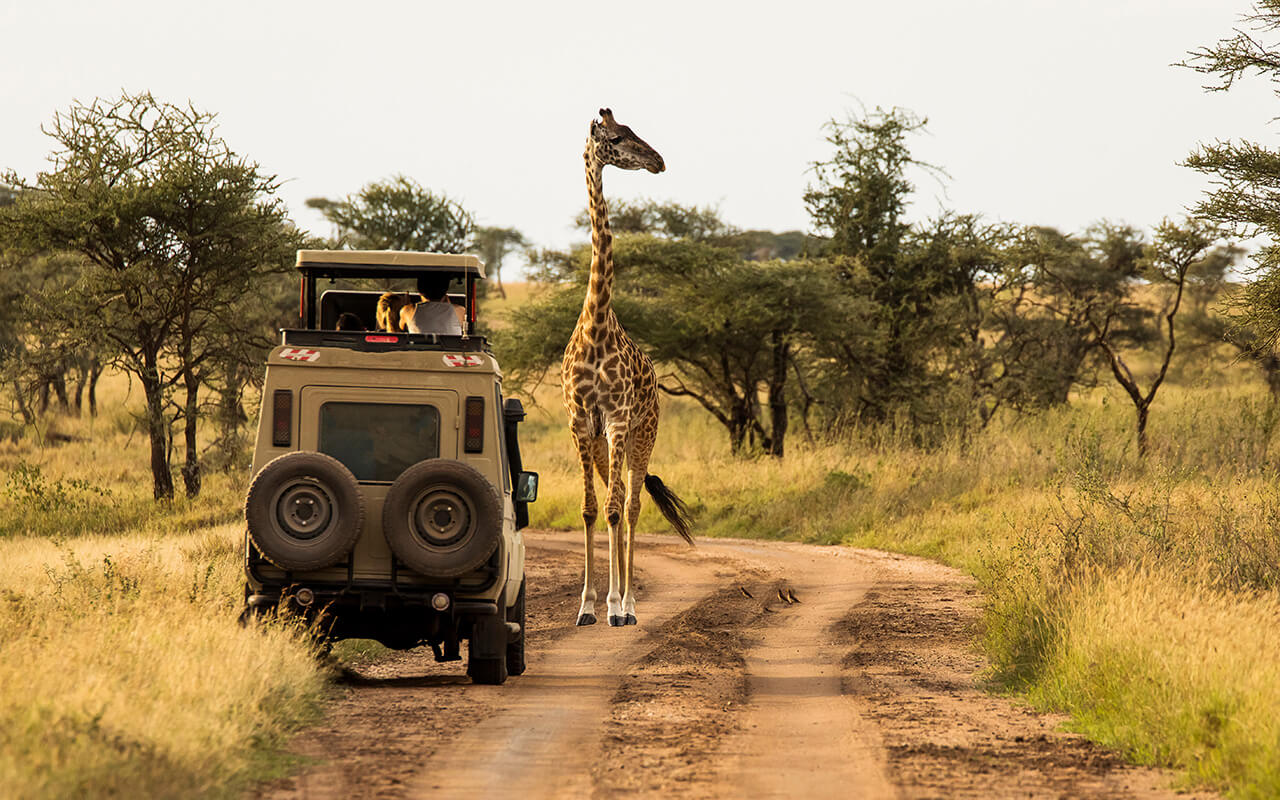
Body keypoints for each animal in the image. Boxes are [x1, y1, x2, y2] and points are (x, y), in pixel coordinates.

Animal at [563, 109, 696, 627]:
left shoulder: (618, 419)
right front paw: (586, 606)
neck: (597, 323)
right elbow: (590, 508)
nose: (658, 161)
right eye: (618, 138)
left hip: (644, 434)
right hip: (605, 444)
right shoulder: (582, 421)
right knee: (615, 500)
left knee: (634, 504)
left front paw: (617, 606)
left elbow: (619, 509)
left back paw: (630, 604)